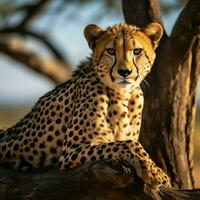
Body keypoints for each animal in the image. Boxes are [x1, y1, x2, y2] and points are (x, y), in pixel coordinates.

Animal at [0, 22, 171, 195]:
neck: (122, 96)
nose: (125, 72)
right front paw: (155, 172)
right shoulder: (70, 151)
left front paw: (158, 172)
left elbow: (127, 142)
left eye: (137, 51)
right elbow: (128, 143)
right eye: (111, 51)